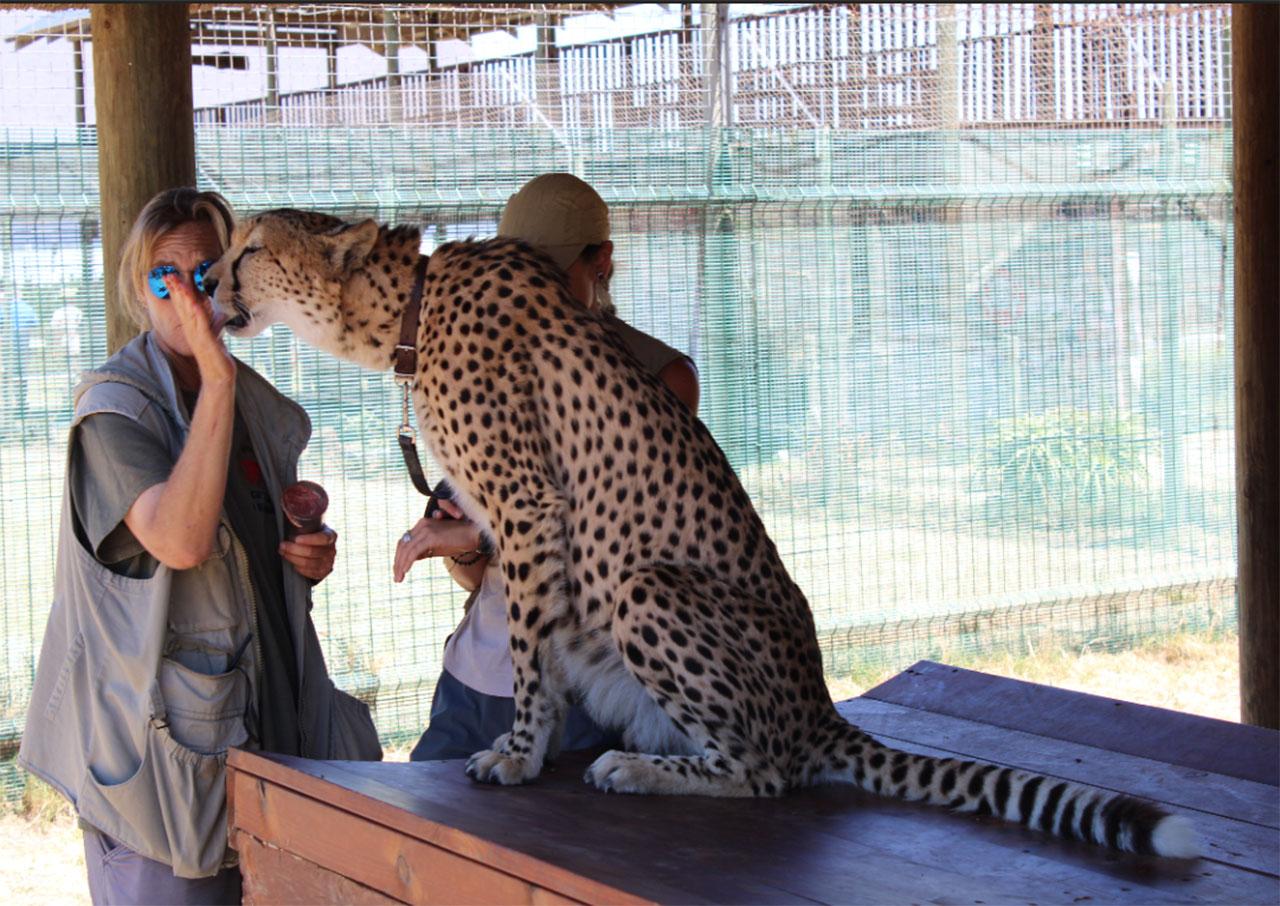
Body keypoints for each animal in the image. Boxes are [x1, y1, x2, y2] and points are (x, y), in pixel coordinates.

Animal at [206, 208, 1197, 859]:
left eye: (251, 247)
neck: (410, 308)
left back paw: (640, 771)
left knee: (767, 772)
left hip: (647, 589)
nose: (207, 280)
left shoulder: (531, 506)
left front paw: (519, 756)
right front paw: (531, 748)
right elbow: (532, 646)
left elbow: (526, 657)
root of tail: (823, 706)